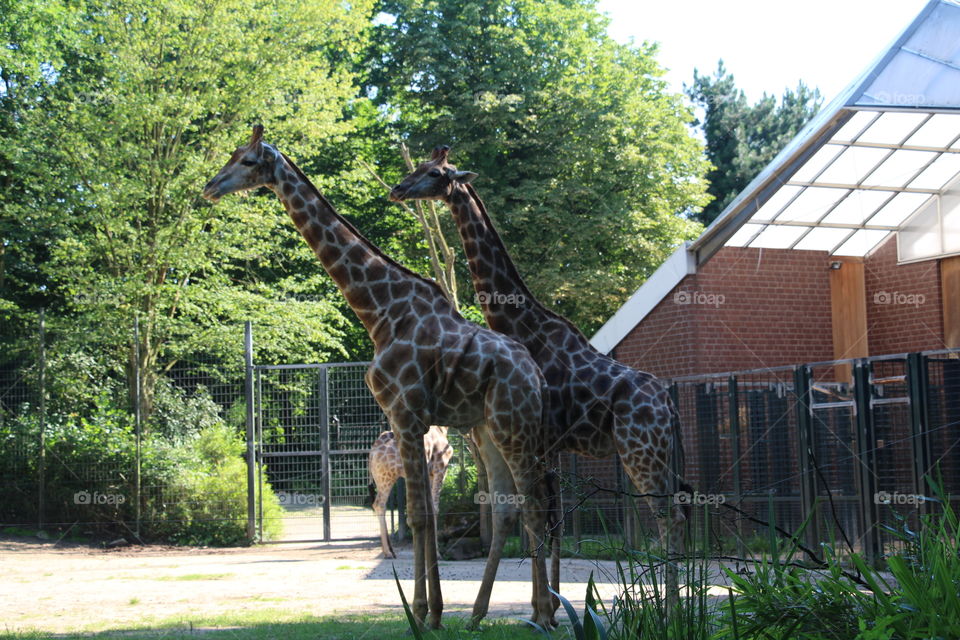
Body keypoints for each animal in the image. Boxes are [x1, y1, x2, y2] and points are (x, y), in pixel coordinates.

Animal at [368, 425, 452, 559]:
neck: (441, 428)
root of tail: (373, 450)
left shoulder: (429, 474)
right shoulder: (440, 468)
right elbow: (435, 509)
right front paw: (437, 554)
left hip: (381, 478)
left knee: (379, 505)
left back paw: (390, 550)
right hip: (387, 476)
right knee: (379, 504)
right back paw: (388, 552)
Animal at [390, 146, 689, 599]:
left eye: (436, 173)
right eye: (420, 165)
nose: (398, 188)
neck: (519, 321)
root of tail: (670, 409)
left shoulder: (538, 438)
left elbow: (540, 521)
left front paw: (545, 603)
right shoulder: (550, 444)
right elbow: (552, 522)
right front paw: (552, 598)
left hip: (641, 452)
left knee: (667, 518)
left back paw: (672, 608)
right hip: (662, 454)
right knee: (682, 511)